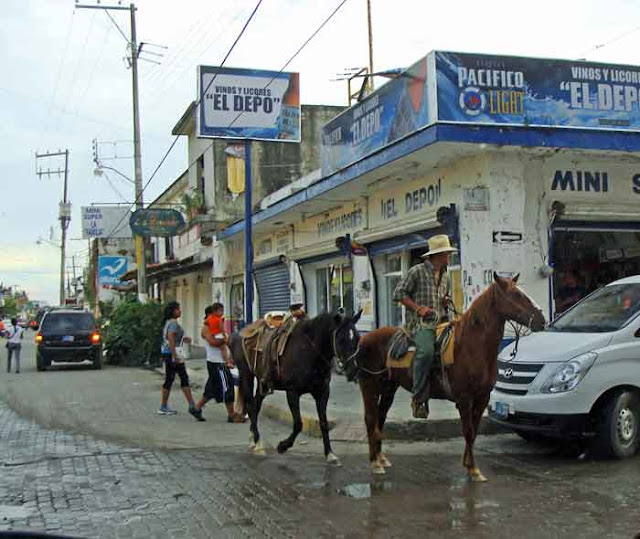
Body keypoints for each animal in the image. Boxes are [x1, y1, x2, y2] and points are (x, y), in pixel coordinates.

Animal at [232, 310, 362, 465]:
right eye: (341, 339)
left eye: (357, 338)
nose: (353, 370)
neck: (310, 350)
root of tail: (240, 332)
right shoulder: (292, 393)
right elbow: (298, 424)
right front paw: (283, 446)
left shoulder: (323, 392)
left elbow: (324, 423)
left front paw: (330, 454)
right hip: (246, 374)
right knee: (251, 406)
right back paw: (258, 443)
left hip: (262, 381)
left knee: (256, 405)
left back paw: (254, 439)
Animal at [344, 272, 546, 480]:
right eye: (516, 295)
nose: (542, 319)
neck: (471, 345)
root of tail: (364, 339)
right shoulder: (464, 399)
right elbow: (468, 431)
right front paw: (474, 470)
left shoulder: (482, 397)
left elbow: (474, 431)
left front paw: (468, 464)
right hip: (369, 383)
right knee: (370, 418)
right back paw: (375, 463)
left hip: (389, 387)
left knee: (380, 417)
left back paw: (381, 458)